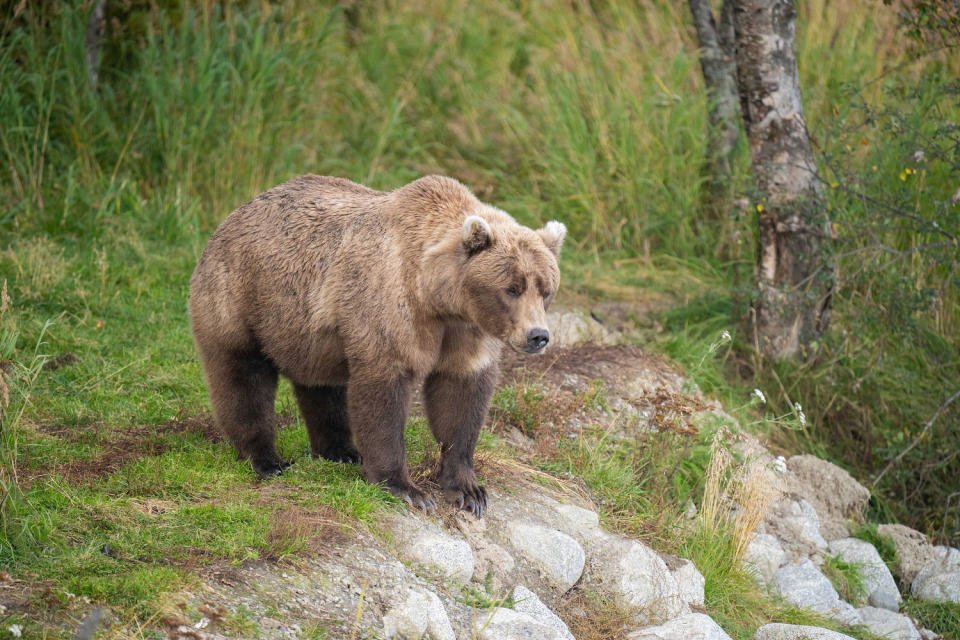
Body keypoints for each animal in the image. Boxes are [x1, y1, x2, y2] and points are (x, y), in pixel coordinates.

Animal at [188, 175, 564, 516]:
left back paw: (341, 451)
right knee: (242, 376)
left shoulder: (465, 333)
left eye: (546, 290)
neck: (439, 299)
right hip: (241, 296)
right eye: (512, 288)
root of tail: (233, 215)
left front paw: (469, 491)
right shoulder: (392, 304)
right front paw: (406, 489)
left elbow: (461, 398)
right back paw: (266, 459)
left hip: (309, 331)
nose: (538, 336)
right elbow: (384, 393)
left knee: (323, 386)